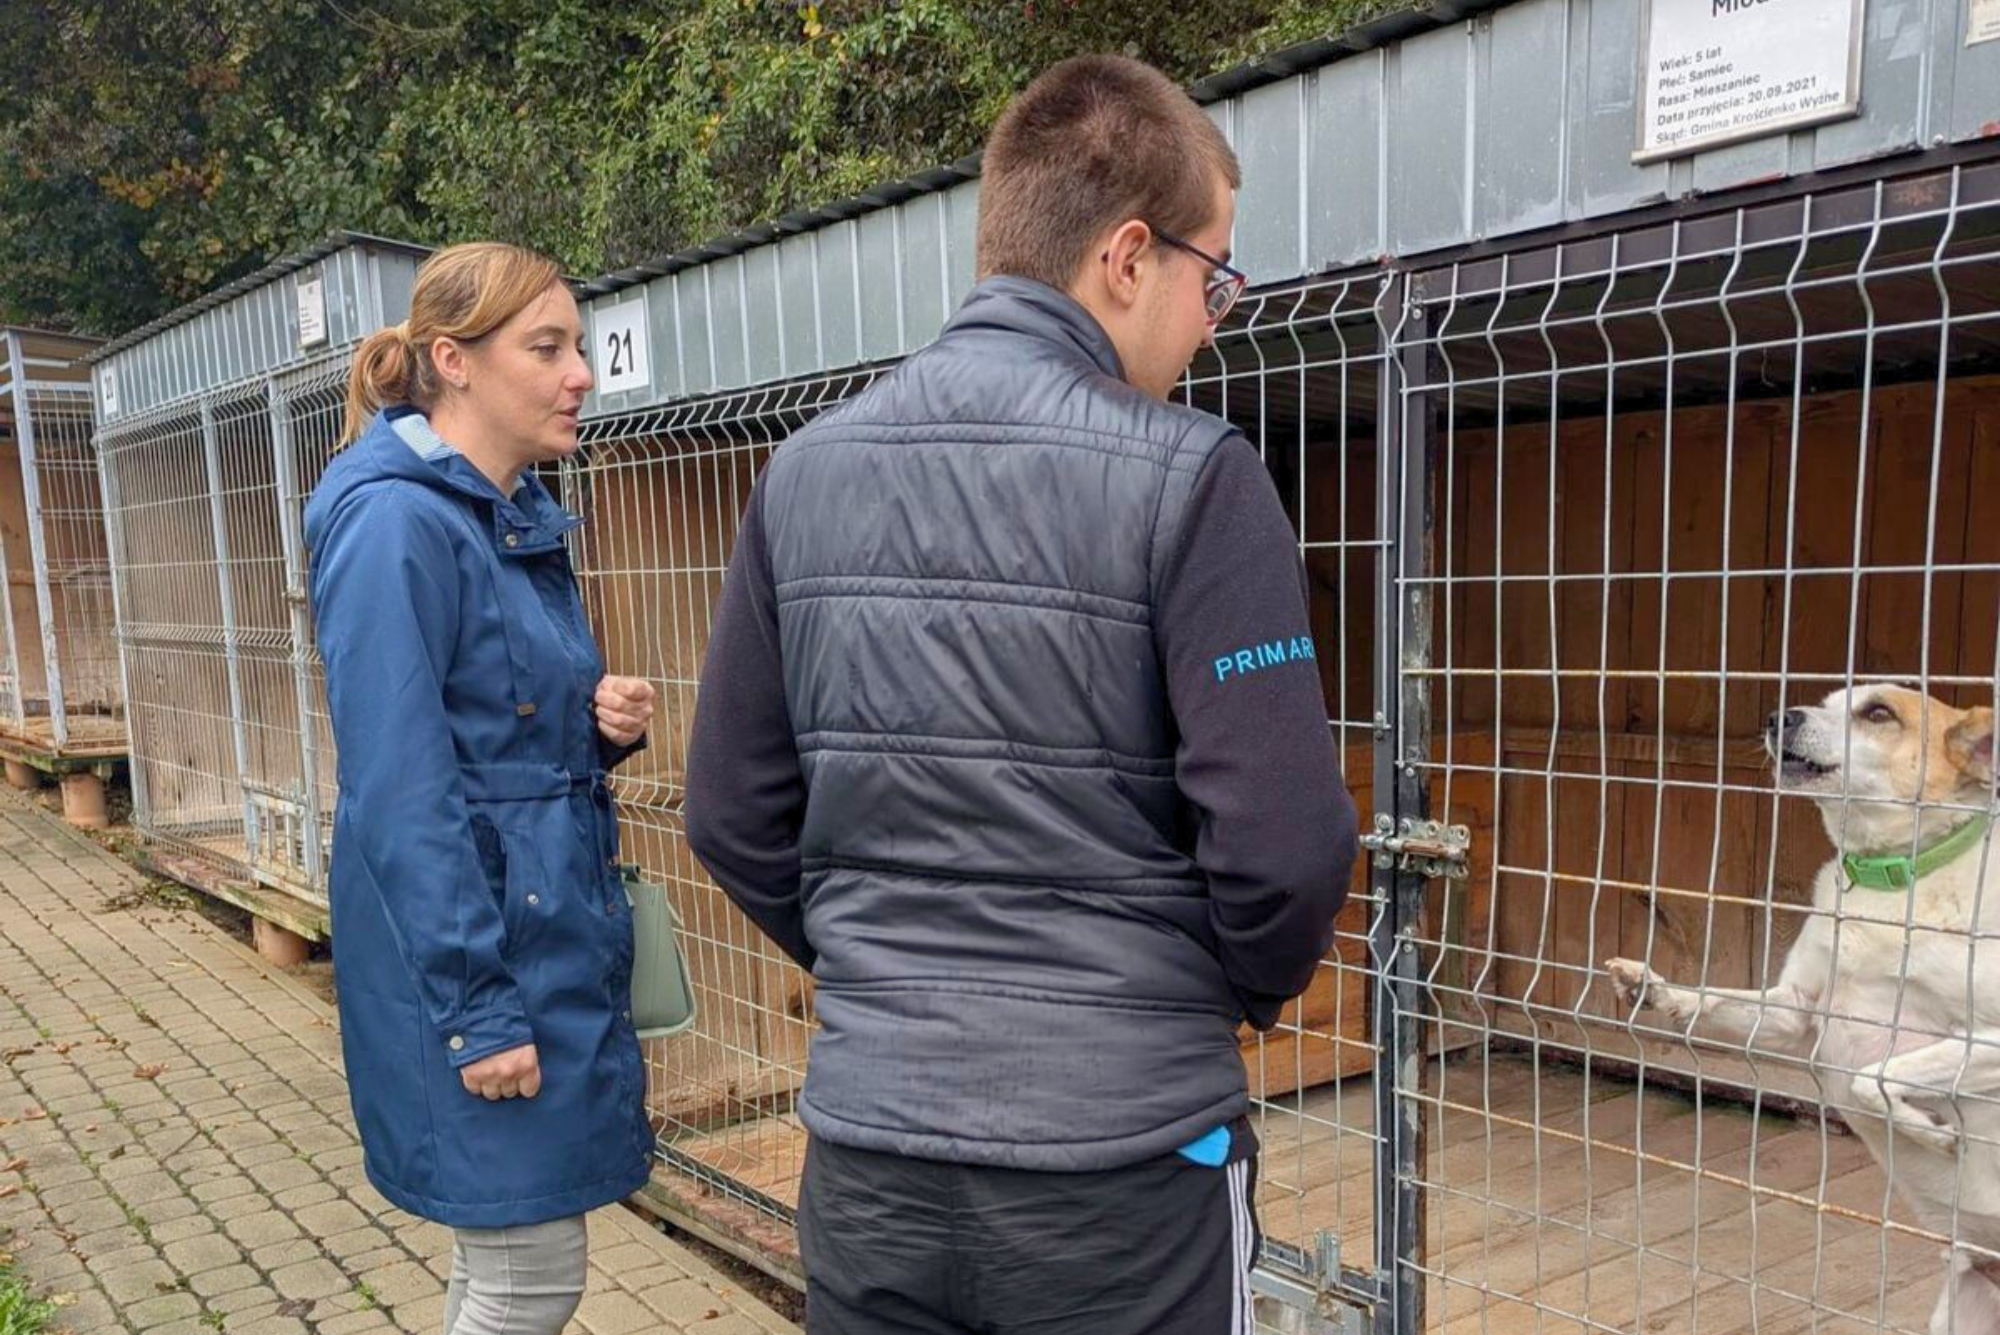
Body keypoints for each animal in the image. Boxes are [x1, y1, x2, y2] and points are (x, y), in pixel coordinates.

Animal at [1608, 687, 2000, 1335]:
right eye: (1826, 700)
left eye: (1878, 713)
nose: (1776, 717)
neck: (1887, 885)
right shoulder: (1797, 1010)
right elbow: (1712, 999)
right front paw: (1654, 990)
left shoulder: (1987, 1039)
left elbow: (1874, 1078)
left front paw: (1928, 1130)